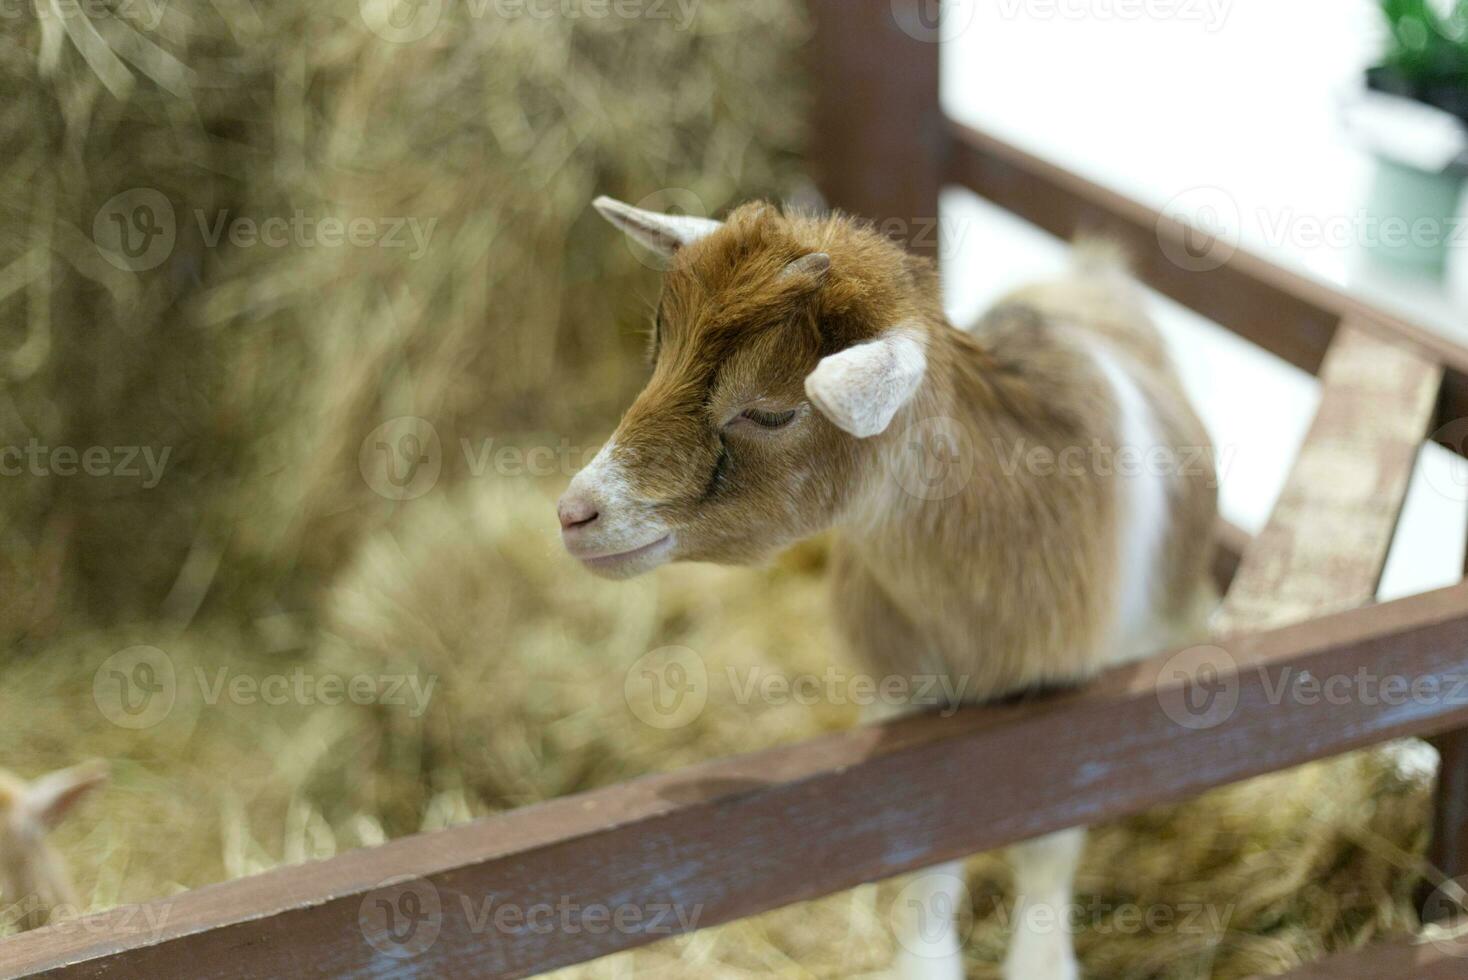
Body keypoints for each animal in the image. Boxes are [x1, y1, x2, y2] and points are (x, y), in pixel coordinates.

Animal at [560, 199, 1215, 979]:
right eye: (659, 355)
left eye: (772, 411)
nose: (576, 513)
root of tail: (1088, 271)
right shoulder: (903, 696)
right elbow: (921, 839)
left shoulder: (1080, 698)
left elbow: (1049, 838)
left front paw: (1039, 961)